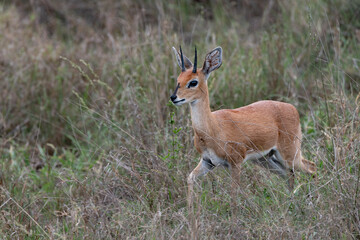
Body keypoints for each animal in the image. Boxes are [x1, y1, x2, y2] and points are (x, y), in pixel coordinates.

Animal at [169, 46, 316, 201]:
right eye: (178, 80)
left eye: (193, 82)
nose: (173, 97)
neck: (213, 128)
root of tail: (292, 108)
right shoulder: (207, 162)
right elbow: (190, 178)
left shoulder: (235, 163)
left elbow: (234, 194)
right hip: (265, 159)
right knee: (289, 174)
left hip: (290, 155)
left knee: (312, 167)